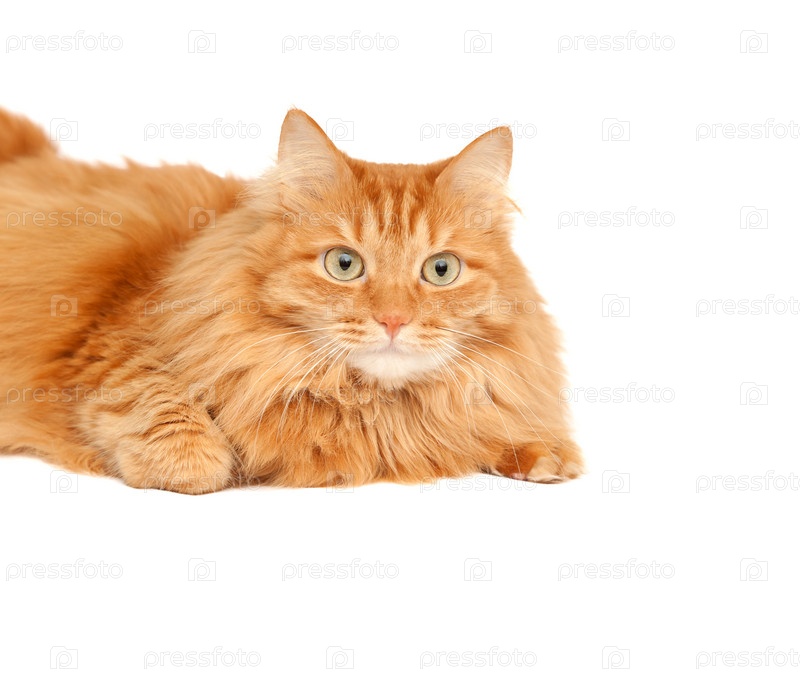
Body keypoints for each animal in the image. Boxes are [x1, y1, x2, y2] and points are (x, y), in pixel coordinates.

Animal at [0, 107, 584, 493]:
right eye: (343, 264)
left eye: (441, 270)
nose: (393, 319)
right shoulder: (111, 340)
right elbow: (157, 399)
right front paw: (193, 463)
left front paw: (541, 451)